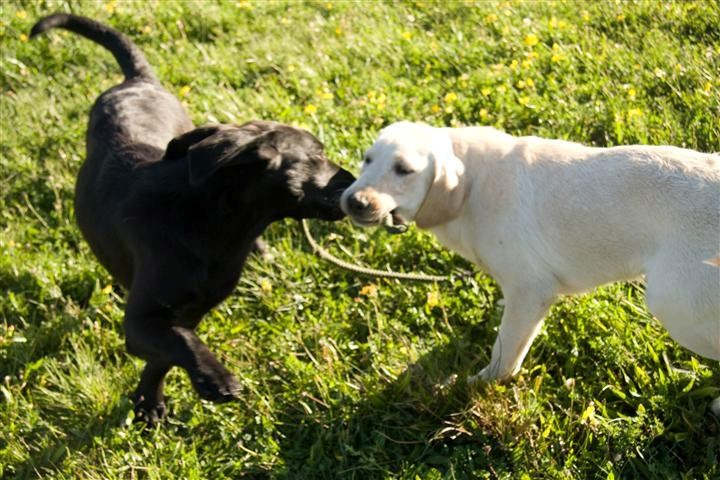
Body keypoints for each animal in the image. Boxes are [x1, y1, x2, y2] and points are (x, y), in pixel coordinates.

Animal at [31, 13, 355, 423]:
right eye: (317, 155)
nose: (354, 179)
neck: (216, 224)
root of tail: (136, 81)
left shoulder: (194, 309)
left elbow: (167, 354)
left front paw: (150, 400)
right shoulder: (142, 320)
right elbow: (177, 343)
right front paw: (208, 380)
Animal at [341, 121, 720, 386]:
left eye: (404, 170)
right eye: (367, 160)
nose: (352, 201)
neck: (473, 184)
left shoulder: (531, 291)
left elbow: (504, 350)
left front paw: (481, 383)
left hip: (676, 305)